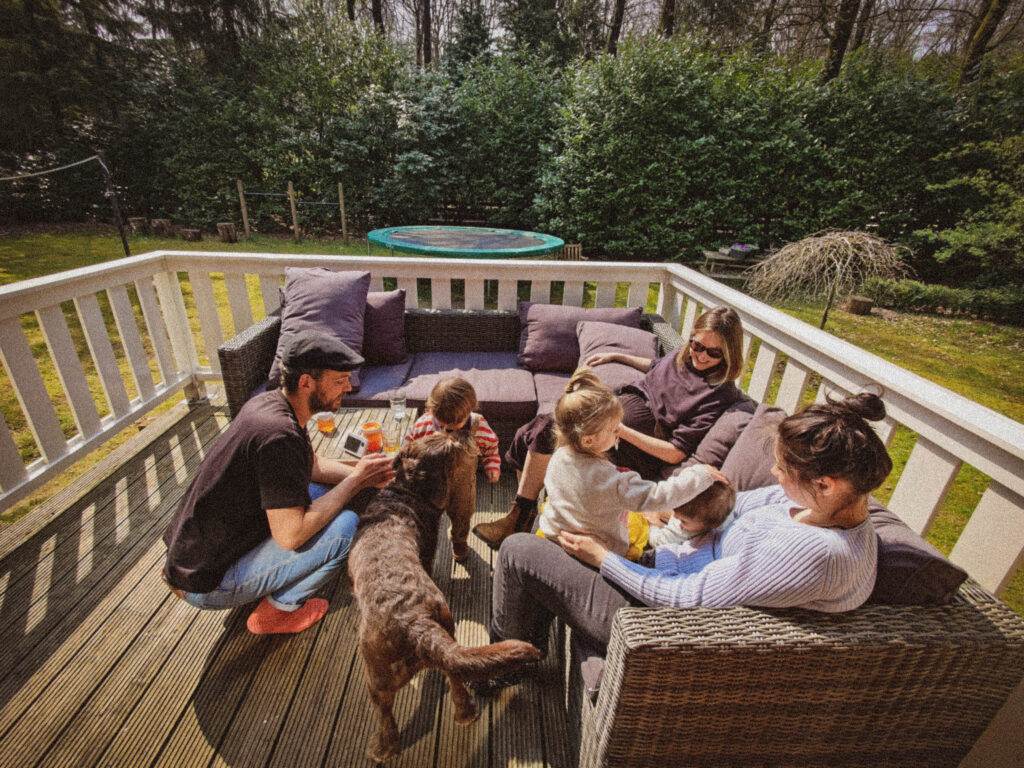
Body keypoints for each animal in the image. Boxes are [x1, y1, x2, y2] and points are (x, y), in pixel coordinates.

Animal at [350, 434, 544, 765]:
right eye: (443, 444)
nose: (463, 434)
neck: (405, 492)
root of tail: (413, 620)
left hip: (377, 677)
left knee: (386, 714)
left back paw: (383, 749)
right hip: (447, 627)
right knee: (455, 675)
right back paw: (465, 714)